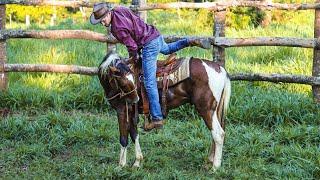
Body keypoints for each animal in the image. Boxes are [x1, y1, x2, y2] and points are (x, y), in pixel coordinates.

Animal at [97, 50, 230, 170]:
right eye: (123, 83)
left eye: (129, 82)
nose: (135, 99)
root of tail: (221, 69)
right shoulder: (131, 112)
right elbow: (134, 135)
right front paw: (137, 162)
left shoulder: (121, 110)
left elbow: (123, 138)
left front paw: (121, 165)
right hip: (215, 110)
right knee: (215, 133)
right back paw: (210, 160)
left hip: (206, 109)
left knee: (218, 134)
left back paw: (215, 167)